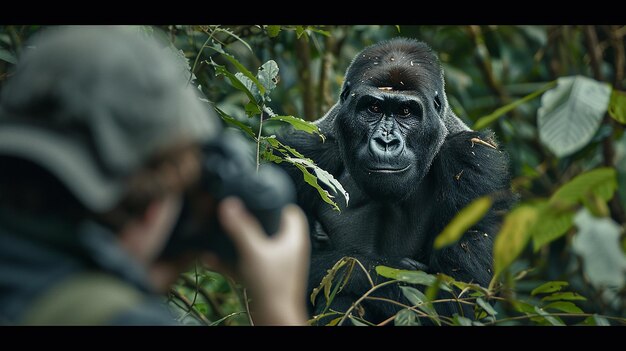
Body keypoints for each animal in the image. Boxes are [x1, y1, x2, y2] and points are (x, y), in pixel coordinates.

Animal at [278, 37, 512, 324]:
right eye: (374, 108)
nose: (386, 142)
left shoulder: (474, 161)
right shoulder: (301, 153)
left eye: (405, 111)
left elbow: (458, 298)